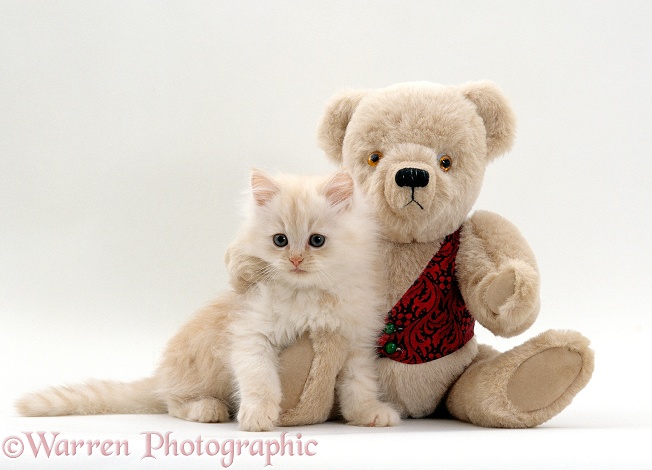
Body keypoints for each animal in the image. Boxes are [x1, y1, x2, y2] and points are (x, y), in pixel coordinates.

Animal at [15, 170, 400, 434]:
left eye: (316, 240)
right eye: (280, 240)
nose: (295, 260)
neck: (307, 294)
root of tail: (160, 375)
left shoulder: (352, 343)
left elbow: (359, 388)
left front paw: (370, 414)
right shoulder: (251, 336)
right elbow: (260, 382)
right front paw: (257, 417)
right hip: (197, 369)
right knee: (172, 403)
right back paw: (208, 409)